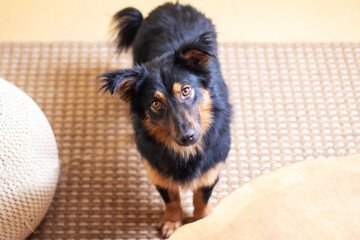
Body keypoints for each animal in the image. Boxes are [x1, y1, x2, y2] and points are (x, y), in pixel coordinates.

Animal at [97, 1, 231, 238]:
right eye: (155, 104)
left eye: (186, 90)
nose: (187, 137)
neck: (185, 152)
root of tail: (172, 5)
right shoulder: (156, 169)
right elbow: (171, 199)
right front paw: (172, 222)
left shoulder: (211, 169)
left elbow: (201, 200)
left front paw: (202, 222)